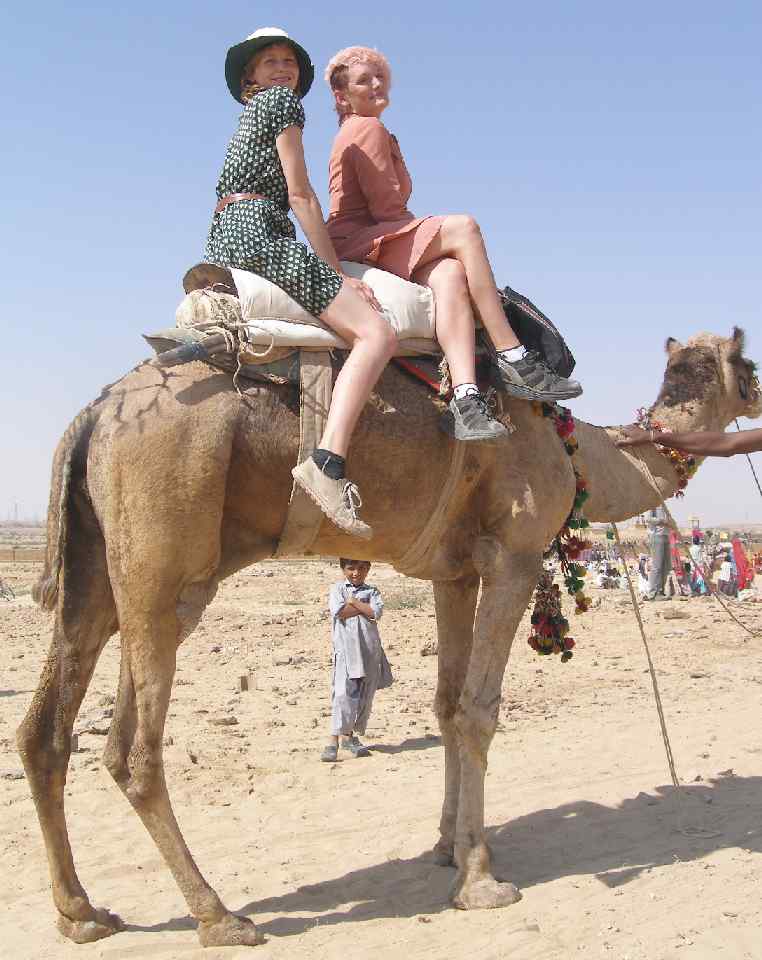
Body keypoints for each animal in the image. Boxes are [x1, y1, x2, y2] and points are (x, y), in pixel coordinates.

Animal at [14, 324, 756, 944]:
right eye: (746, 362)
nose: (758, 392)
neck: (577, 450)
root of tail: (93, 415)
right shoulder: (513, 555)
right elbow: (480, 711)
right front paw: (481, 880)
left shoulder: (455, 572)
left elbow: (447, 706)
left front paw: (448, 848)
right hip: (164, 556)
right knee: (133, 752)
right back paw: (219, 917)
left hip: (97, 566)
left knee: (47, 730)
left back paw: (82, 913)